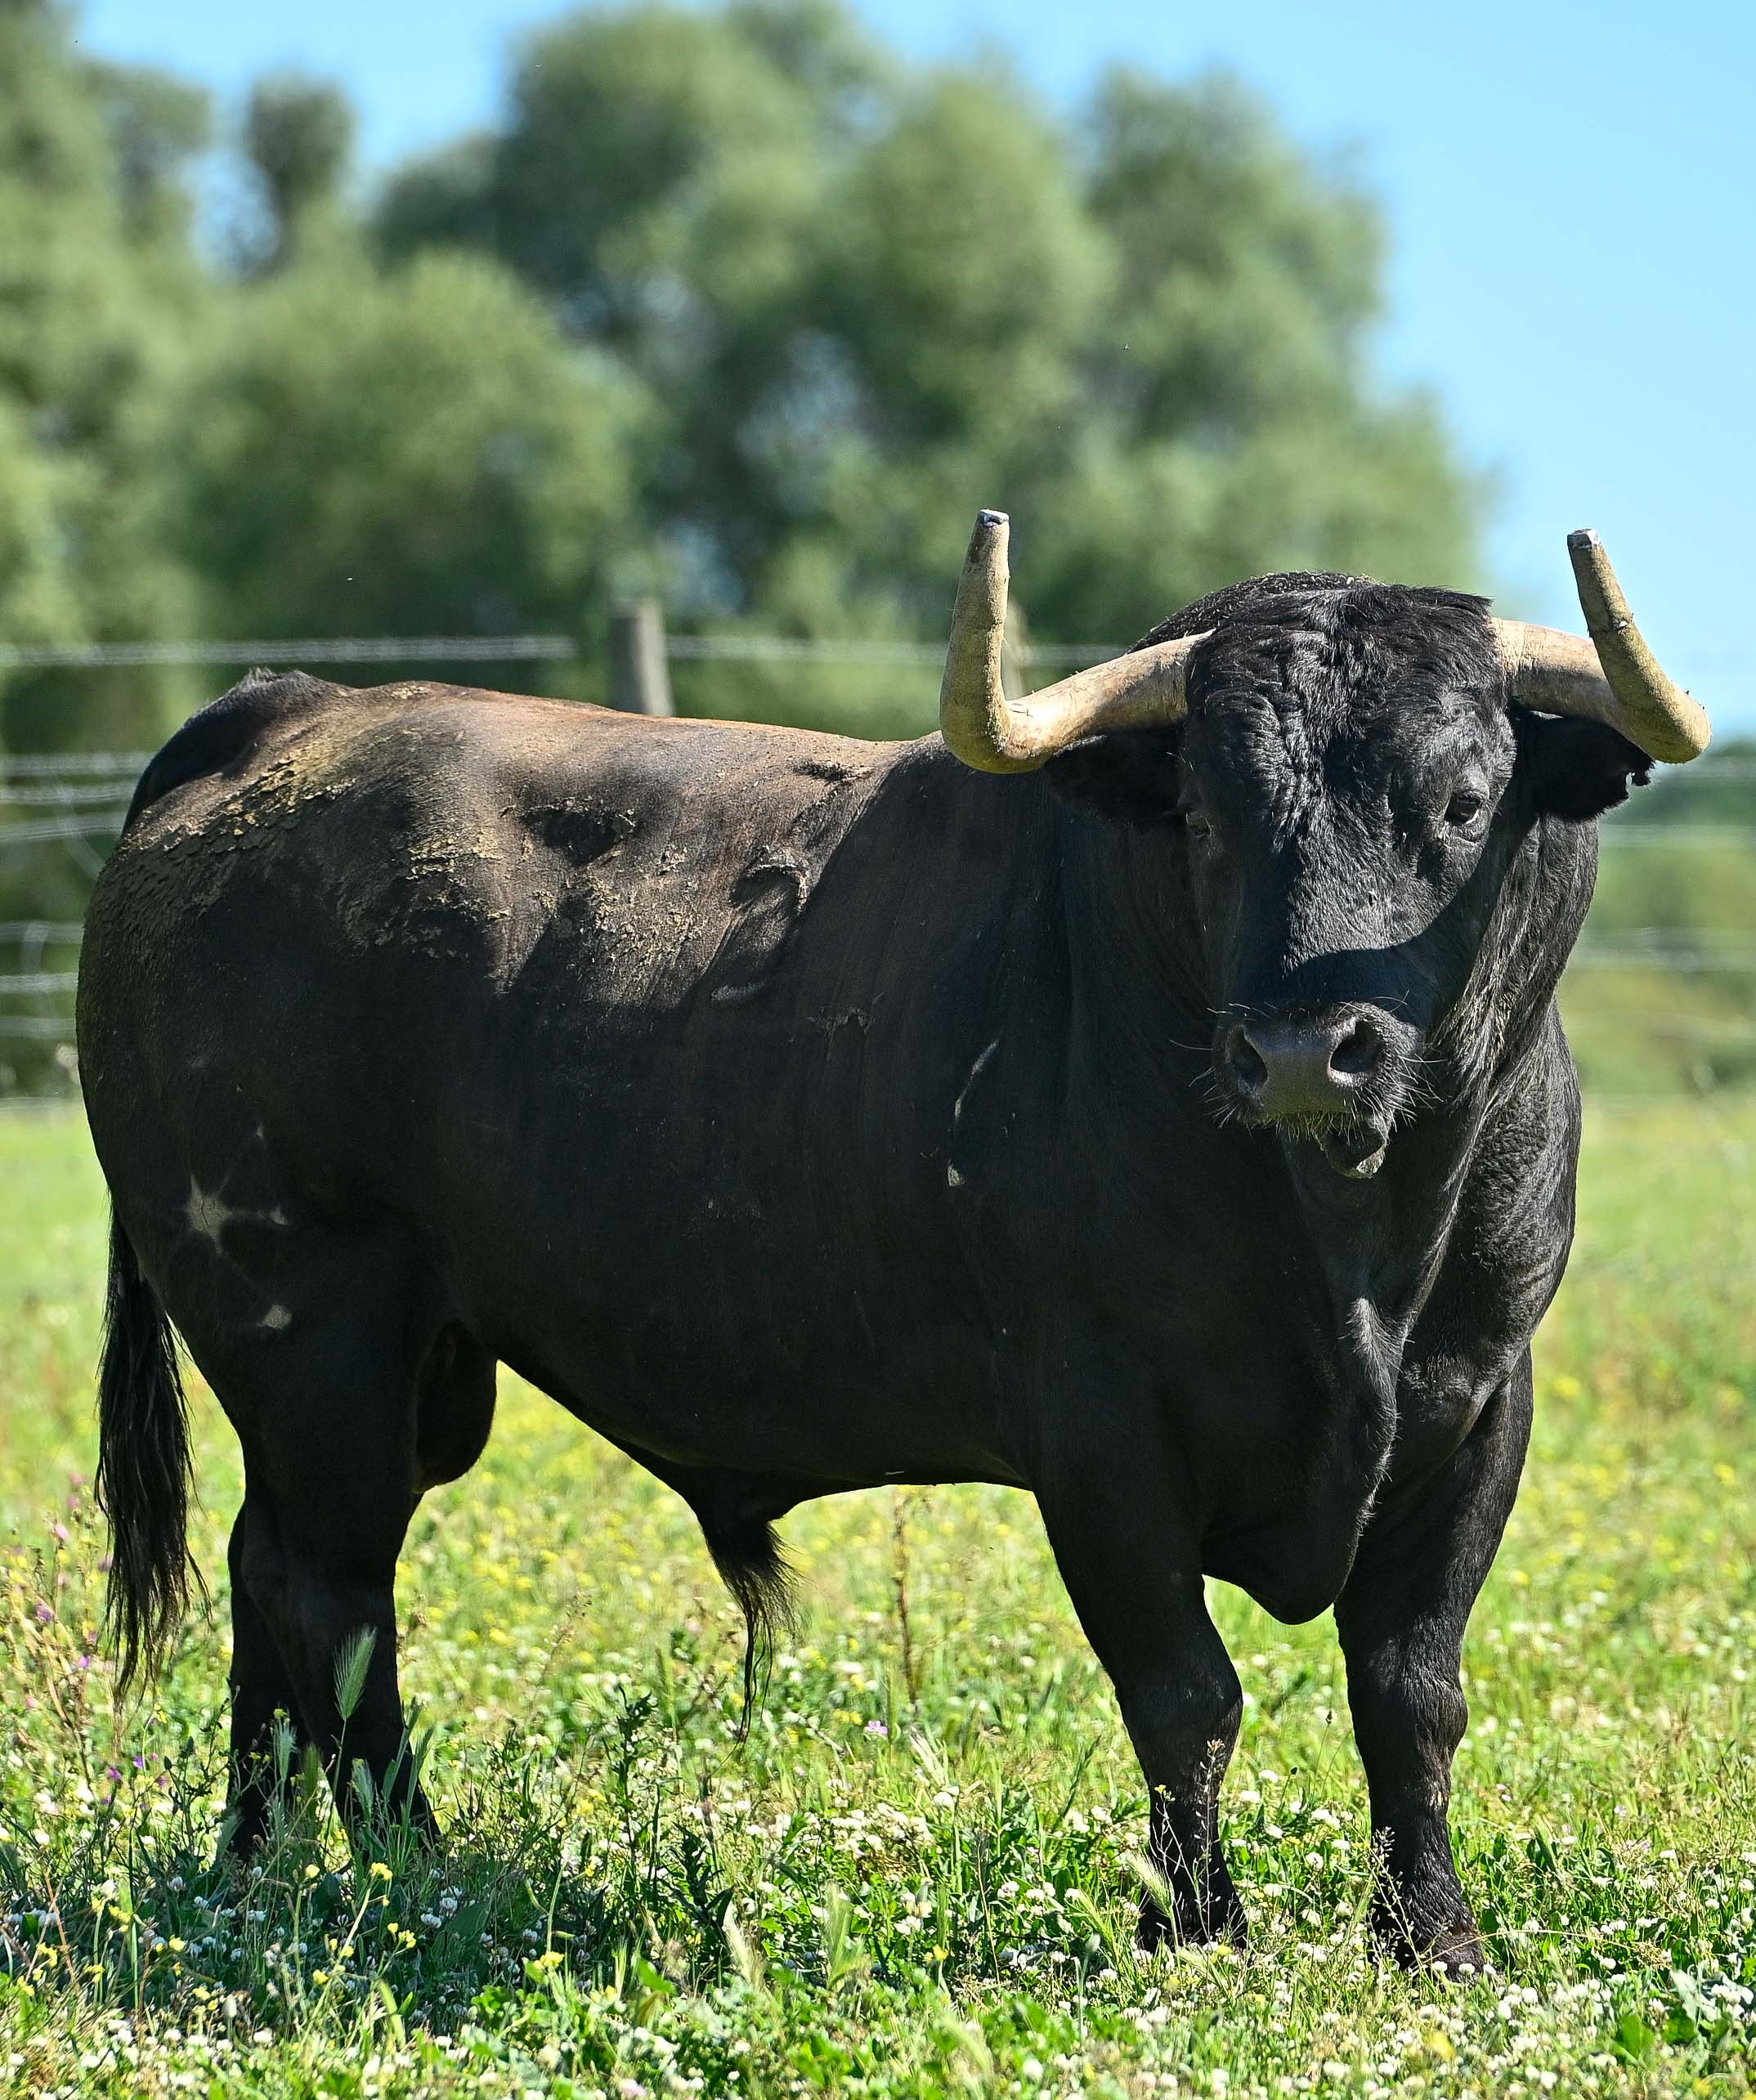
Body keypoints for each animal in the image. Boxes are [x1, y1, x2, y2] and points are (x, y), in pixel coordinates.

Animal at [77, 514, 1709, 1969]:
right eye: (1204, 811)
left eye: (1463, 801)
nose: (1309, 1051)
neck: (1349, 1251)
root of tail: (285, 708)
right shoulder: (1101, 1433)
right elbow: (1184, 1693)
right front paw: (1196, 1929)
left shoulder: (1478, 1405)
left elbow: (1409, 1689)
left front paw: (1435, 1936)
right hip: (310, 1330)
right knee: (337, 1603)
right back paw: (422, 1870)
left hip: (403, 1373)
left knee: (269, 1571)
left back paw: (254, 1861)